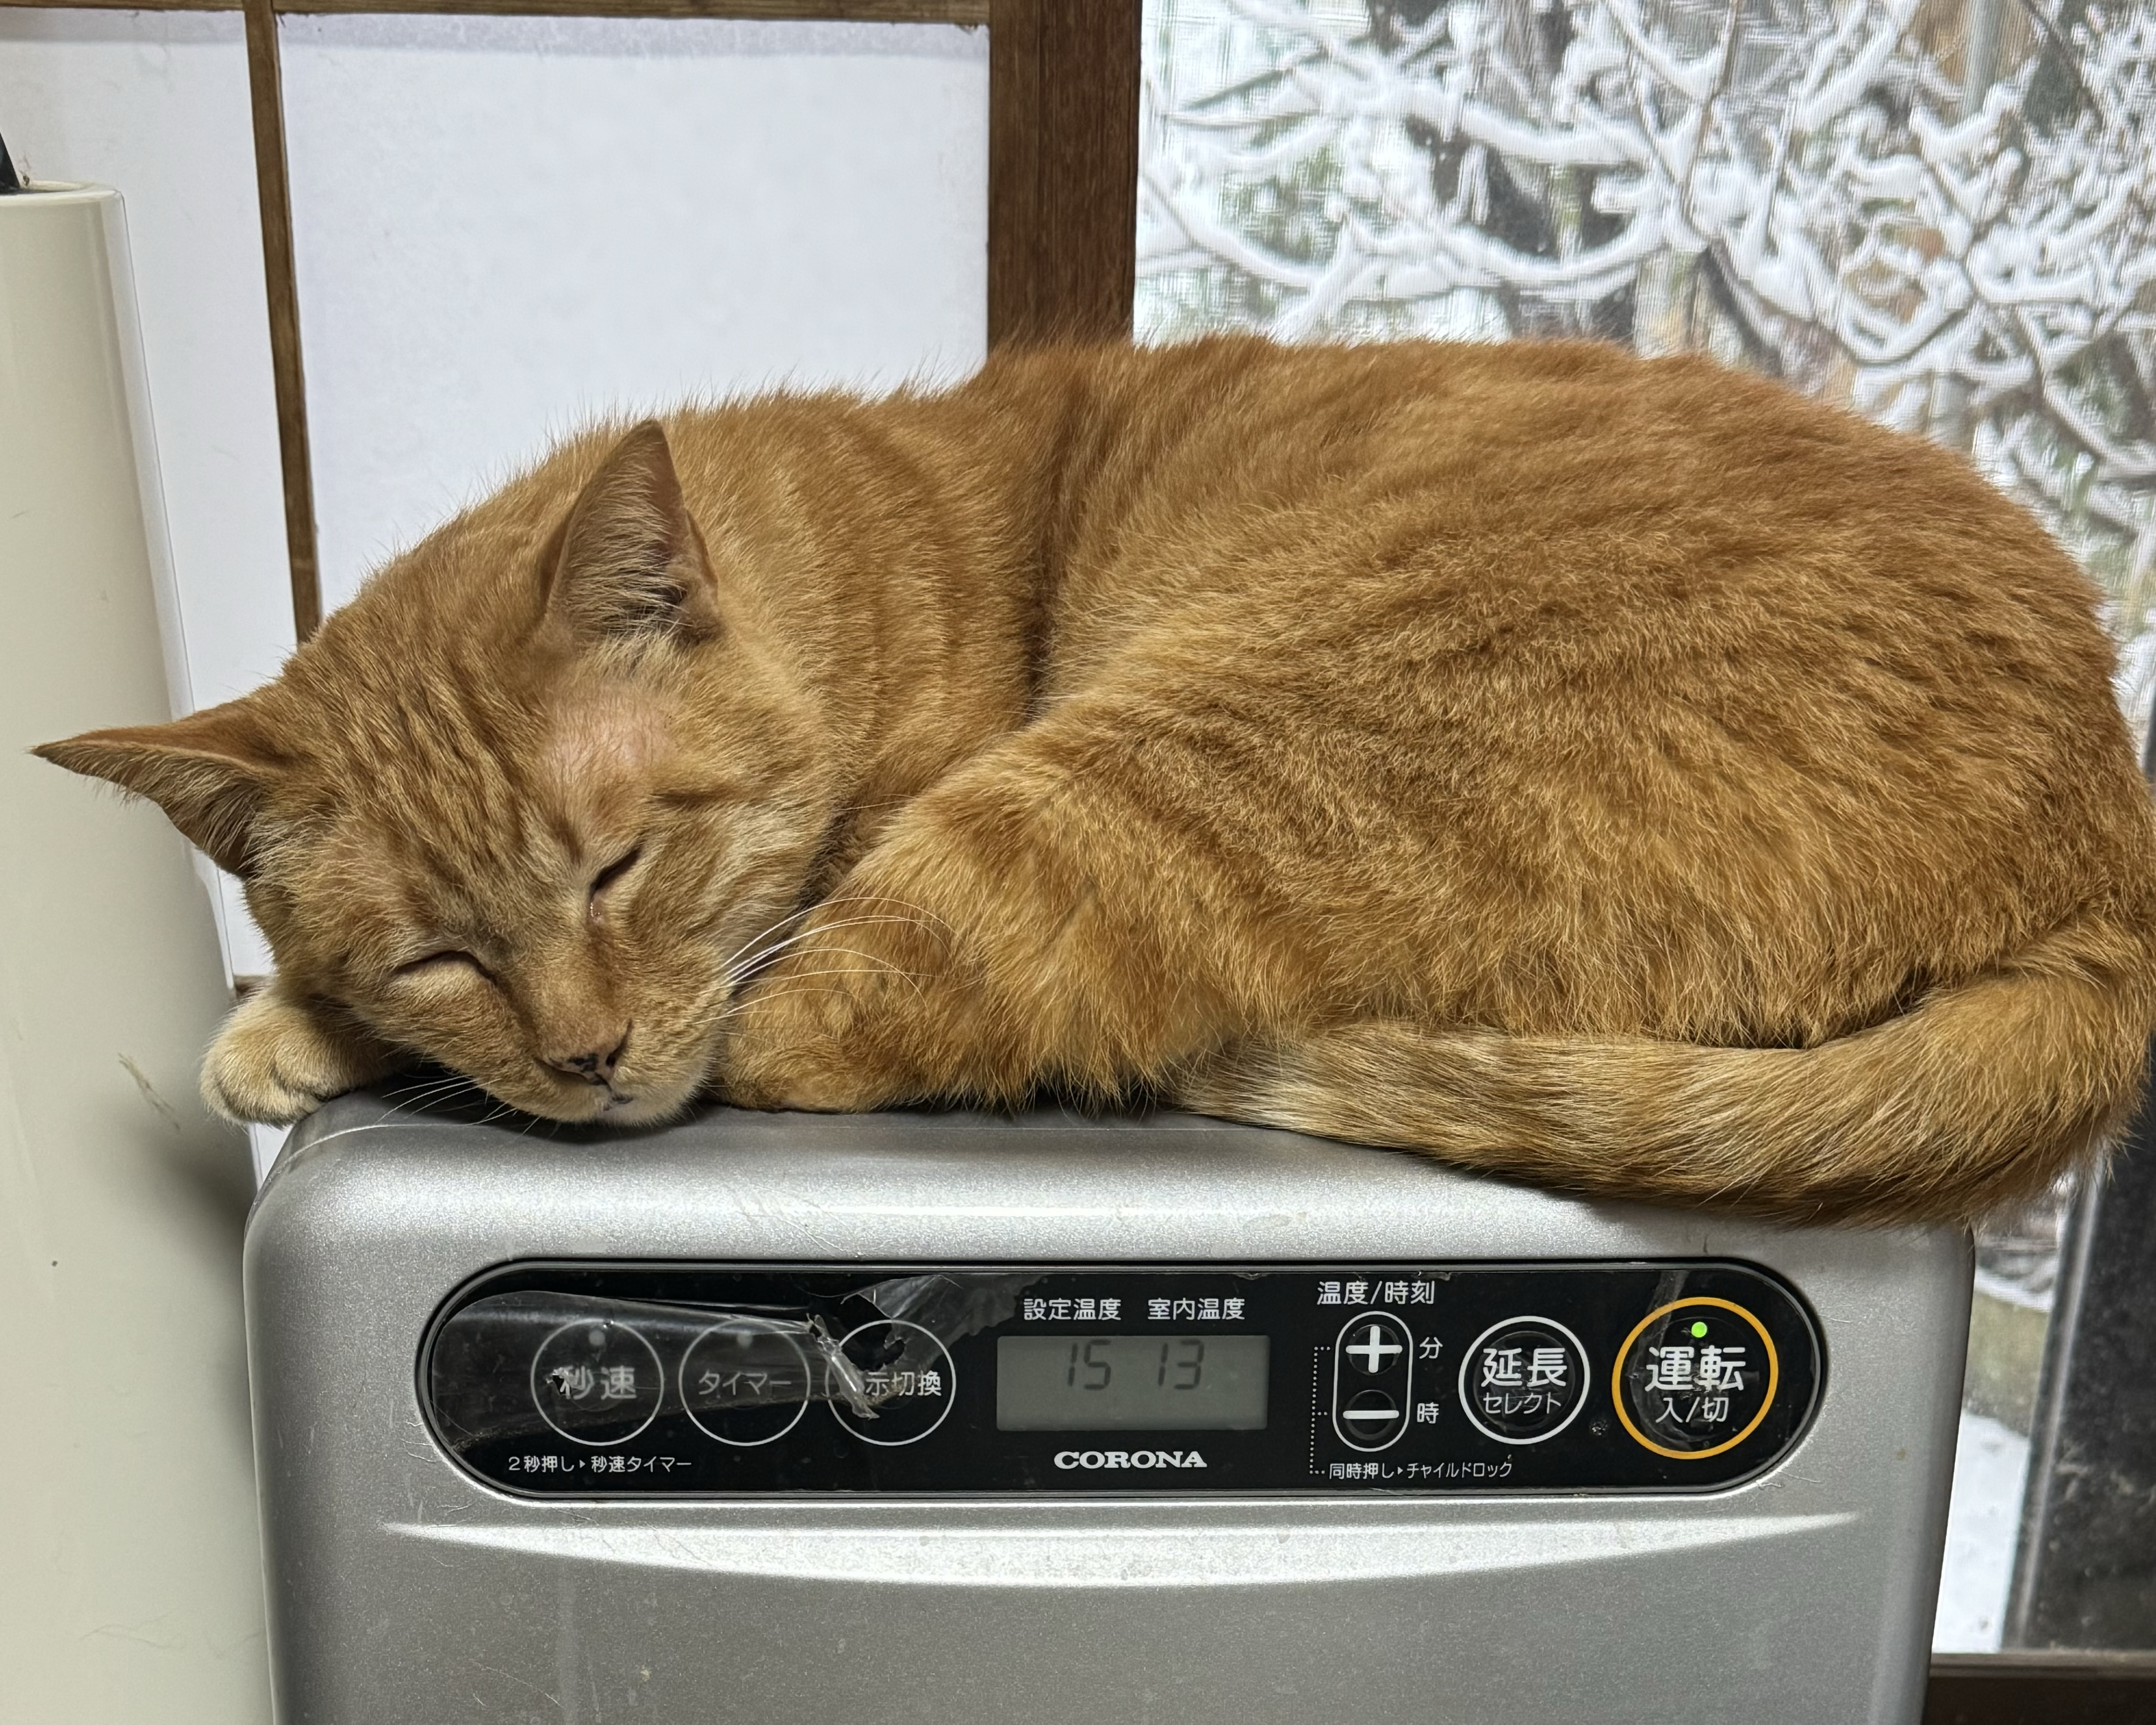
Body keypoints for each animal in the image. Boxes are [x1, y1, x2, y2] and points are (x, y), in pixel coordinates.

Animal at [37, 335, 2156, 1221]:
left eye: (620, 867)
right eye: (439, 954)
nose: (581, 1056)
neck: (874, 571)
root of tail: (2107, 835)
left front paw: (285, 1030)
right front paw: (305, 1015)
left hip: (1137, 784)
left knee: (826, 1037)